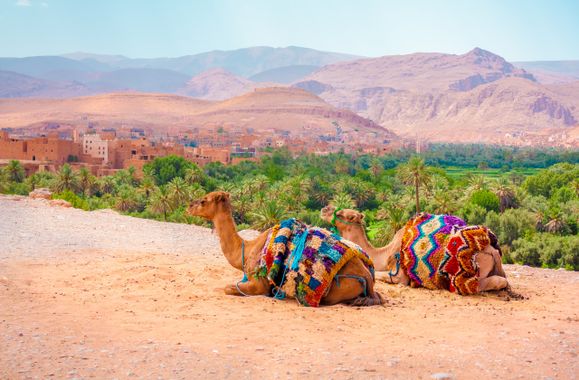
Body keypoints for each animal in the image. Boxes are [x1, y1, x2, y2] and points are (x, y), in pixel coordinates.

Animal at [187, 191, 386, 308]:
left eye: (203, 201)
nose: (189, 206)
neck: (246, 250)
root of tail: (368, 276)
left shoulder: (260, 283)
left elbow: (228, 288)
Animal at [320, 205, 510, 294]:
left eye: (343, 214)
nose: (324, 209)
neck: (383, 254)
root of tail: (492, 250)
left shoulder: (399, 275)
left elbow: (382, 276)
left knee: (493, 282)